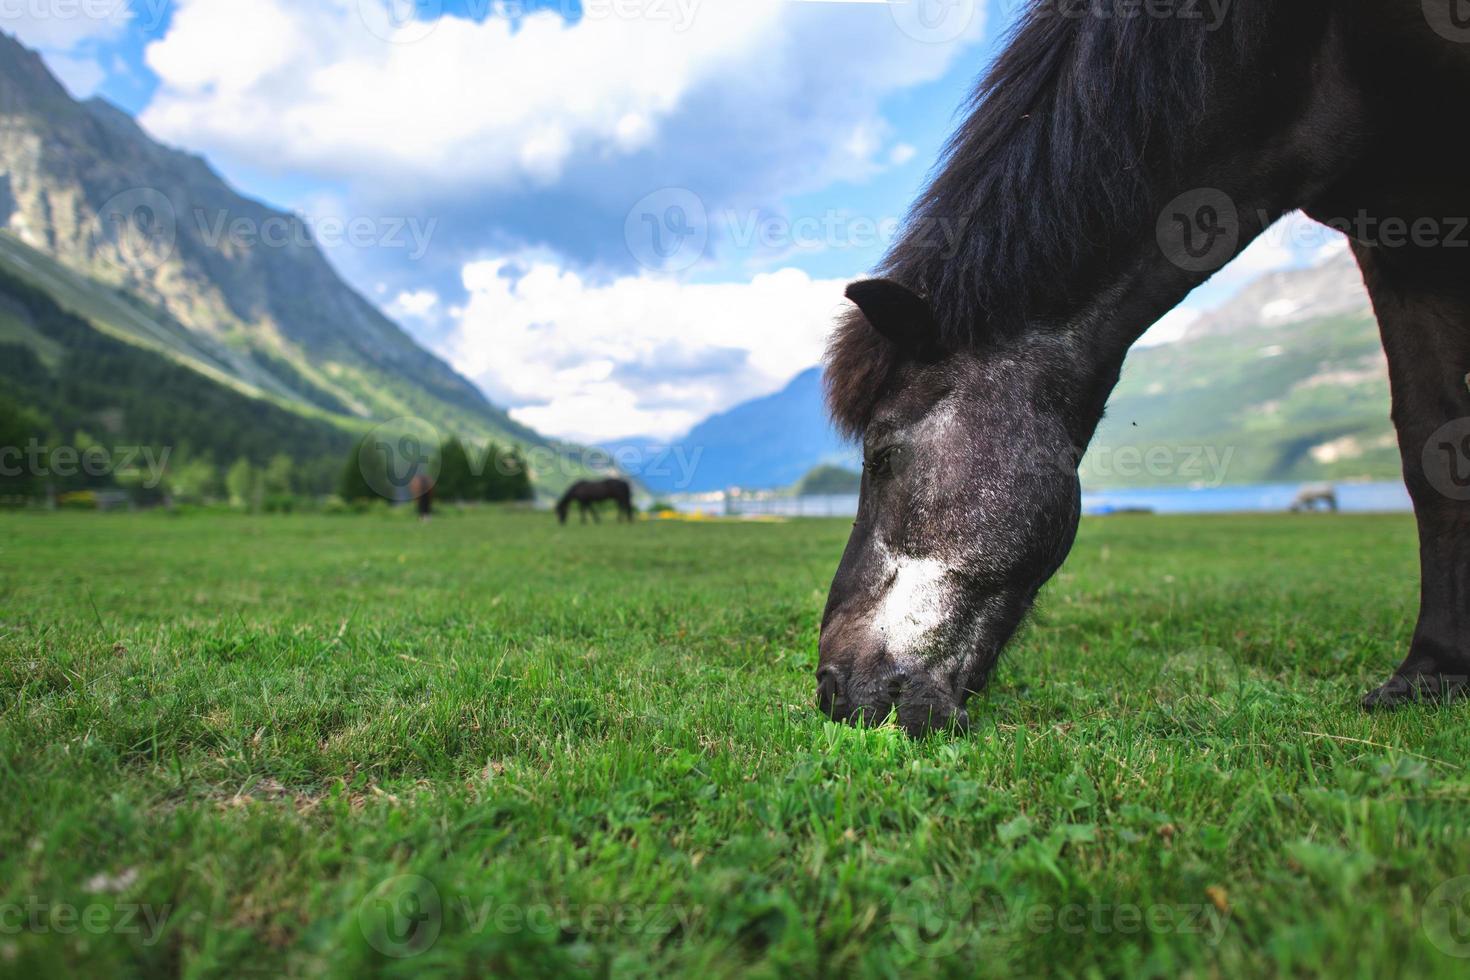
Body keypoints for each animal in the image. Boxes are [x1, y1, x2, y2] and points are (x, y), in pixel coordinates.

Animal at [817, 0, 1470, 734]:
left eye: (882, 456)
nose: (830, 687)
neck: (1316, 46)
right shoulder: (1393, 242)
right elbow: (1429, 447)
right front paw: (1433, 670)